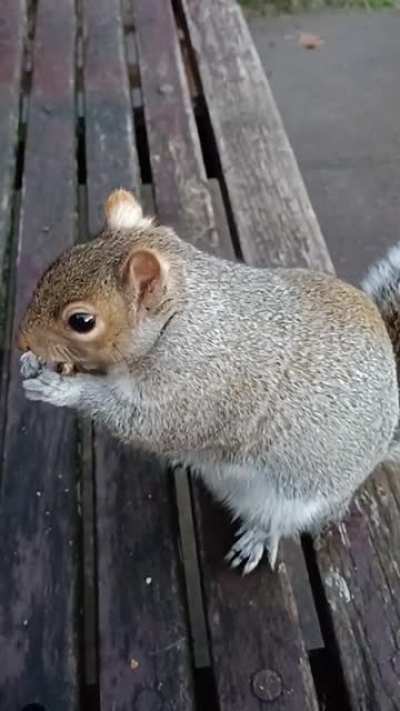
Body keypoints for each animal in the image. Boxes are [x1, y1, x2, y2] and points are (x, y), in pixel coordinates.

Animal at [17, 188, 400, 574]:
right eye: (55, 264)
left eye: (81, 321)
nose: (22, 341)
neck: (179, 318)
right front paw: (33, 363)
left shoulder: (201, 391)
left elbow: (144, 424)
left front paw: (64, 389)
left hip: (301, 497)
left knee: (281, 521)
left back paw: (258, 536)